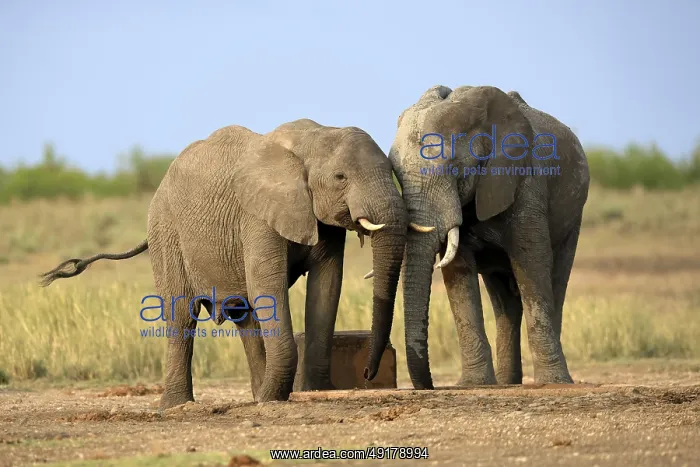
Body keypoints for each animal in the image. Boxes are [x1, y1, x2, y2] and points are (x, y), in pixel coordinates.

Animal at [39, 119, 408, 409]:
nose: (367, 374)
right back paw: (178, 407)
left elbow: (327, 286)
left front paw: (316, 392)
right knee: (182, 314)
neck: (314, 135)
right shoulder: (256, 215)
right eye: (340, 177)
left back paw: (258, 396)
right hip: (166, 229)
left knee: (242, 314)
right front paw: (282, 397)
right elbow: (267, 286)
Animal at [369, 85, 589, 389]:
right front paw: (474, 384)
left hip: (573, 215)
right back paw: (509, 384)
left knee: (557, 279)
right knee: (505, 300)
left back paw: (553, 380)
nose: (430, 386)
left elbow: (532, 263)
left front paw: (552, 383)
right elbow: (458, 271)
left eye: (453, 168)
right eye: (396, 174)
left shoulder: (526, 182)